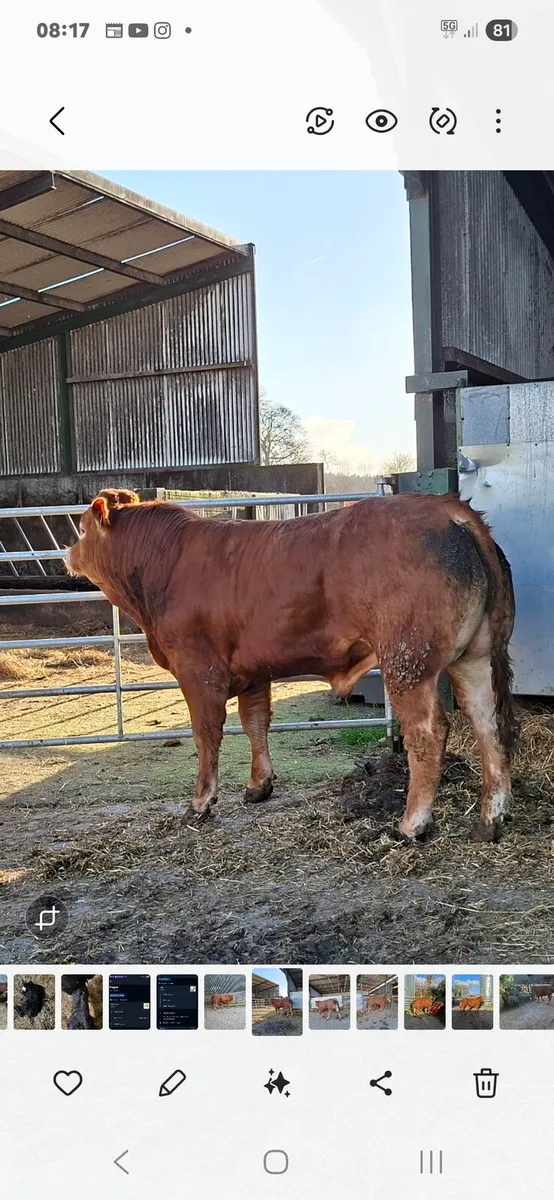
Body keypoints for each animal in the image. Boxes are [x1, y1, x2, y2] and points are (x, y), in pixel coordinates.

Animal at [66, 488, 517, 842]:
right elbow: (255, 723)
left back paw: (413, 825)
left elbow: (206, 734)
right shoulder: (252, 673)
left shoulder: (198, 670)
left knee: (427, 733)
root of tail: (444, 508)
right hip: (475, 656)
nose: (68, 553)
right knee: (488, 722)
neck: (165, 565)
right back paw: (491, 820)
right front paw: (258, 785)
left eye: (83, 529)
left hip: (408, 660)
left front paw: (200, 803)